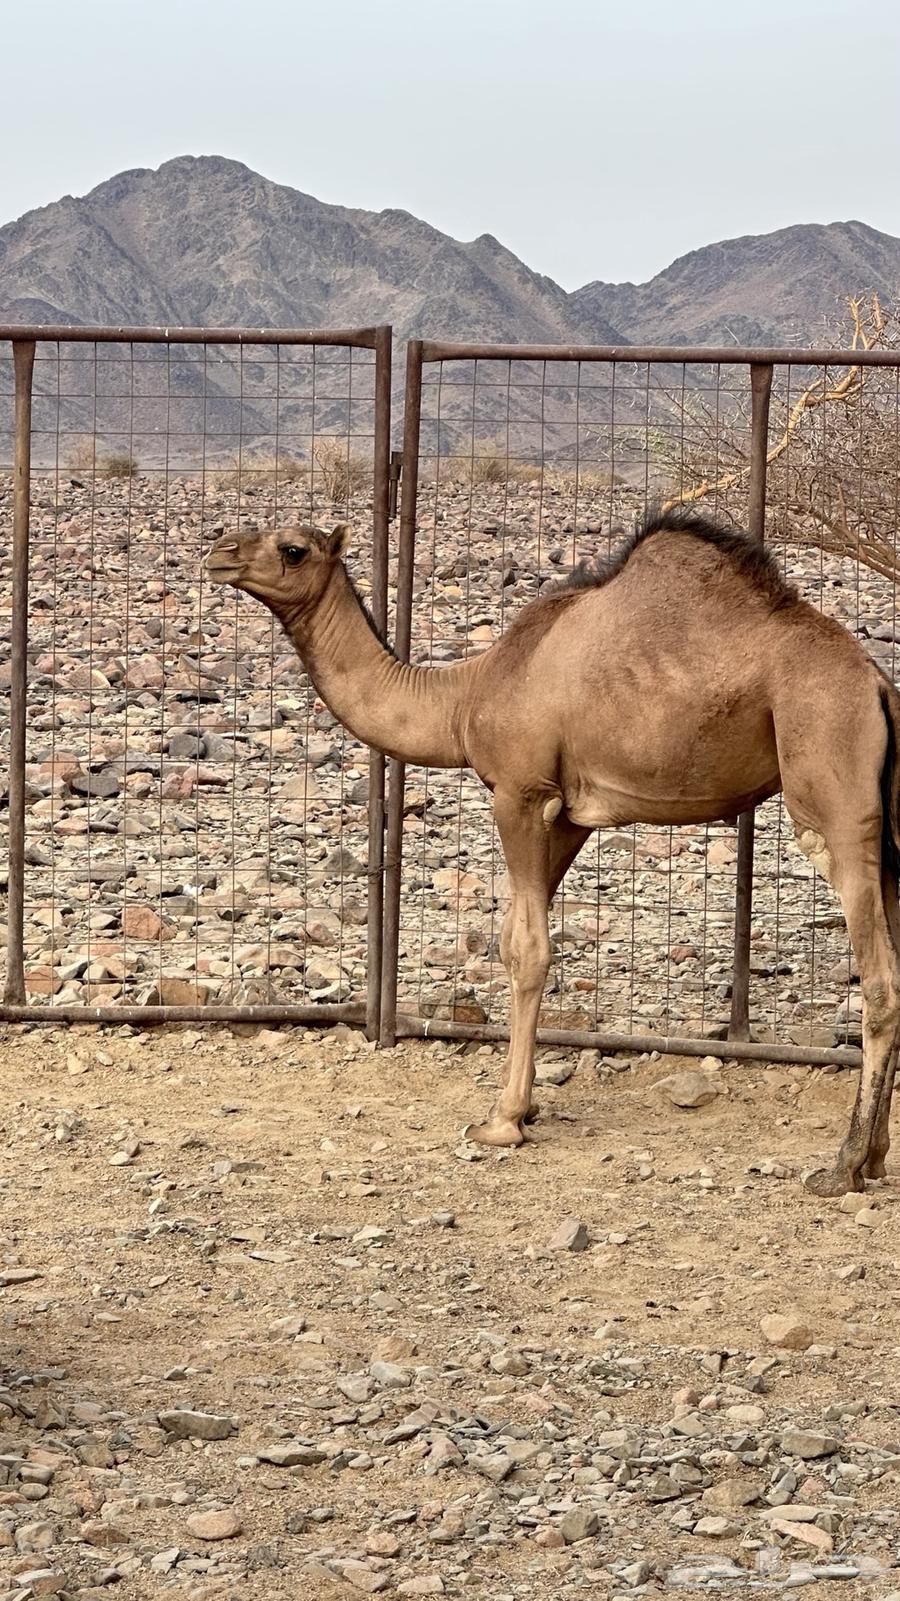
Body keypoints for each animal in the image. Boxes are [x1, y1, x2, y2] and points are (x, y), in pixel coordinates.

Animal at [207, 508, 900, 1197]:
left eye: (293, 550)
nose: (218, 552)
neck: (465, 694)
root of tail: (877, 686)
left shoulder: (521, 792)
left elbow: (527, 949)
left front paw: (503, 1119)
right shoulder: (568, 816)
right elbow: (517, 932)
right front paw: (526, 1103)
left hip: (831, 789)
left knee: (879, 976)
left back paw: (840, 1167)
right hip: (885, 826)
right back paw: (873, 1159)